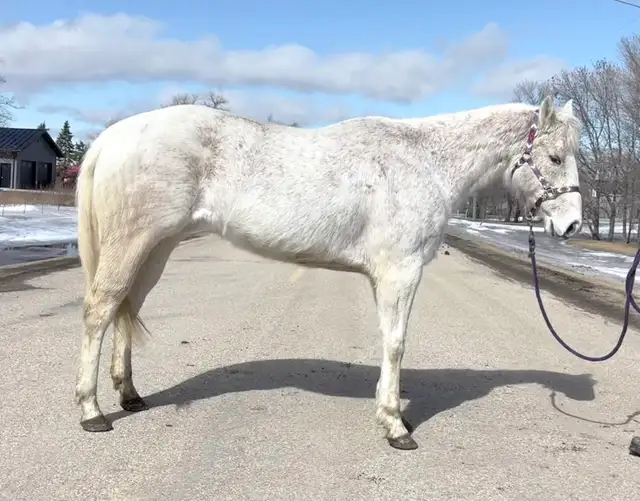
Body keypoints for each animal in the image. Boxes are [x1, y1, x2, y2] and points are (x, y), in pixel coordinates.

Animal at [74, 96, 582, 450]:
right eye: (555, 158)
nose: (572, 225)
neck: (424, 162)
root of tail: (112, 137)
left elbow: (389, 342)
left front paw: (392, 414)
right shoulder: (401, 271)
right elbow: (396, 343)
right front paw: (396, 427)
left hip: (156, 249)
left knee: (125, 307)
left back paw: (130, 395)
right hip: (132, 242)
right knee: (100, 311)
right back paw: (91, 411)